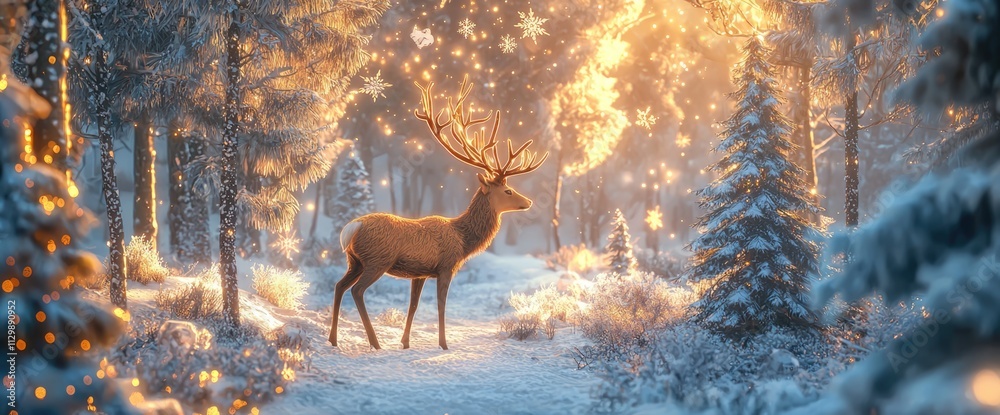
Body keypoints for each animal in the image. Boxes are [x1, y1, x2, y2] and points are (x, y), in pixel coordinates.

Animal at [329, 76, 548, 350]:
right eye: (508, 191)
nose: (527, 201)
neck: (463, 240)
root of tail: (350, 229)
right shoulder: (446, 265)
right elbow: (441, 305)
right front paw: (444, 344)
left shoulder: (420, 272)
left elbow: (413, 306)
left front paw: (405, 342)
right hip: (377, 259)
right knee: (357, 291)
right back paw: (374, 342)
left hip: (354, 261)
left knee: (338, 286)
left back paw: (333, 339)